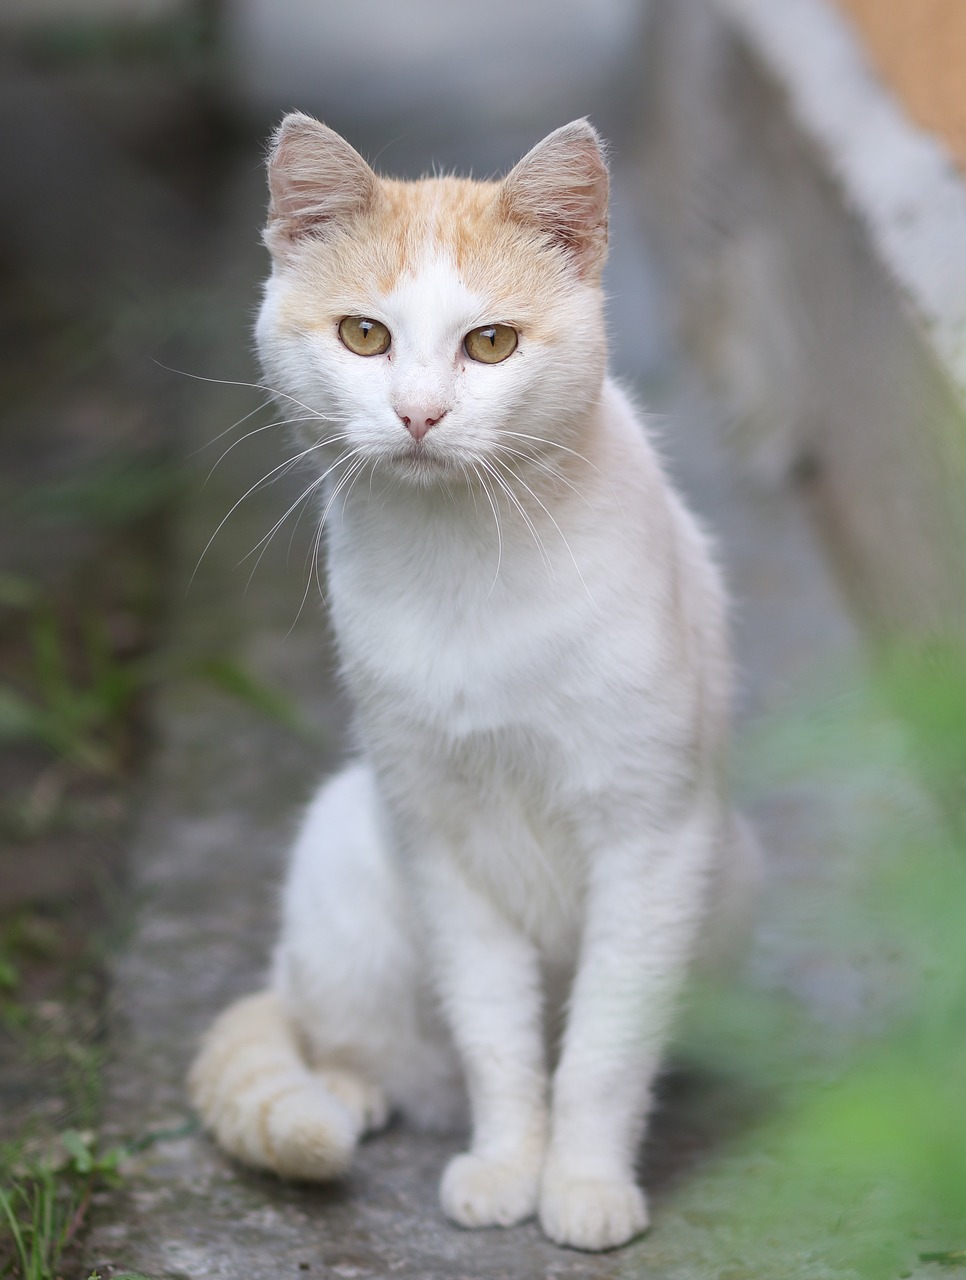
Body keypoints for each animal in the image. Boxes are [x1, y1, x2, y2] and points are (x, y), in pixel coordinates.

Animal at [185, 110, 752, 1249]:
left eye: (490, 343)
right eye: (364, 336)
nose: (417, 414)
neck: (466, 564)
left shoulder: (654, 839)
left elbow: (605, 1047)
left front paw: (582, 1181)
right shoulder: (441, 841)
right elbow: (497, 1037)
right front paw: (506, 1164)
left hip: (733, 871)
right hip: (345, 856)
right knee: (337, 1031)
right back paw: (348, 1093)